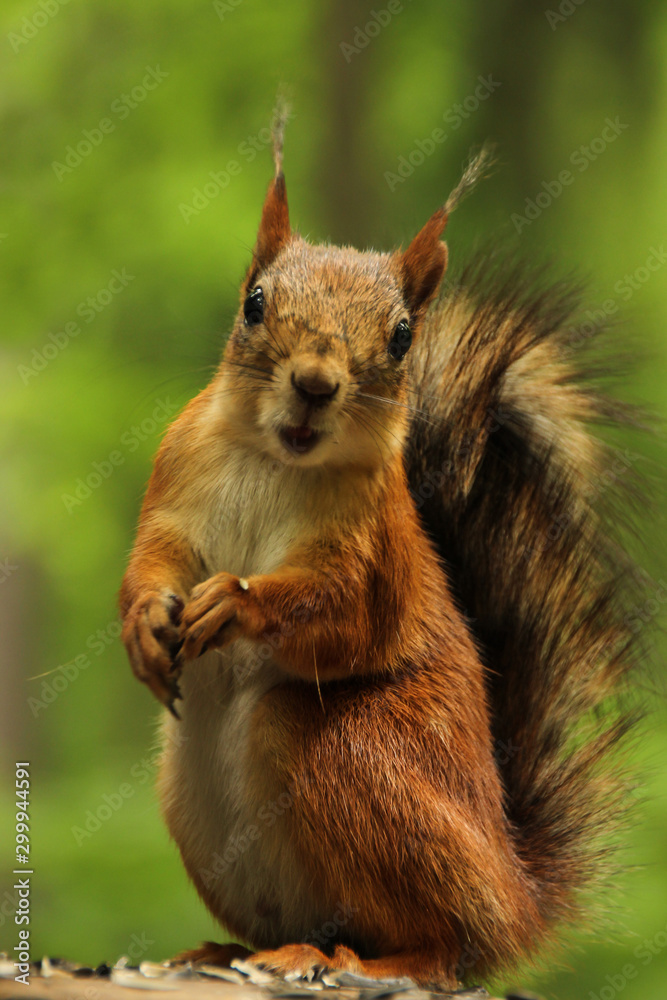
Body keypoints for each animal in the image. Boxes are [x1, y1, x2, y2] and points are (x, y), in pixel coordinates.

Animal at [119, 117, 645, 991]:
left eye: (401, 336)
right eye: (254, 303)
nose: (314, 382)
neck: (274, 460)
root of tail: (515, 897)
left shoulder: (373, 552)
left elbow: (342, 619)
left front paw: (238, 600)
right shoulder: (175, 483)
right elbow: (152, 561)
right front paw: (142, 624)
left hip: (356, 759)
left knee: (439, 945)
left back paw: (346, 957)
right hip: (197, 808)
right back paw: (235, 951)